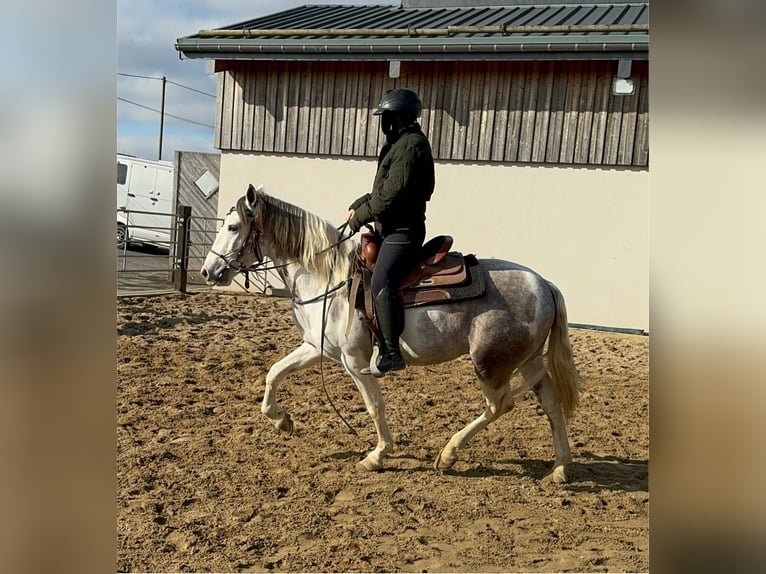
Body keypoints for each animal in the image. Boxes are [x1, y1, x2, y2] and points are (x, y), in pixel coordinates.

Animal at [201, 186, 584, 486]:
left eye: (233, 226)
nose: (208, 271)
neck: (328, 277)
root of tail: (544, 284)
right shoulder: (317, 348)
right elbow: (274, 373)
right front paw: (282, 421)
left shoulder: (355, 362)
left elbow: (374, 405)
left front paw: (378, 455)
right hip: (528, 360)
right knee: (551, 404)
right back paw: (560, 468)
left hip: (490, 364)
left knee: (499, 405)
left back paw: (448, 454)